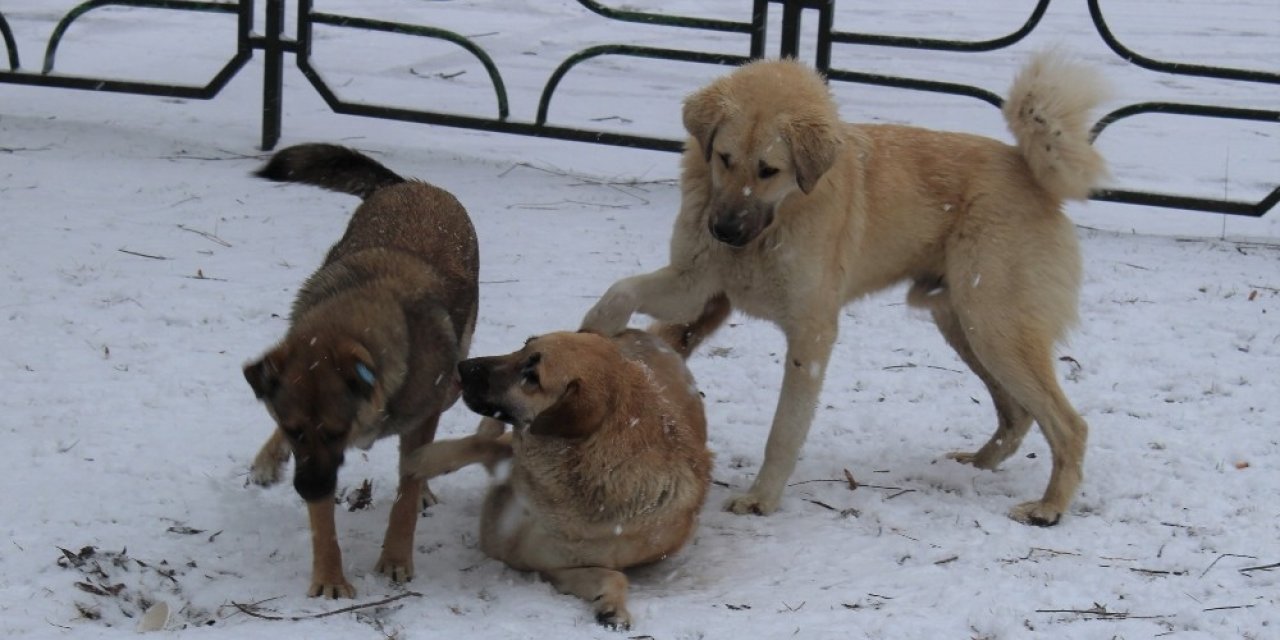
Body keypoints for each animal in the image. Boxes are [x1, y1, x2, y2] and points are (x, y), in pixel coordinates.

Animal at [241, 144, 478, 593]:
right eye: (294, 431)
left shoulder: (418, 416)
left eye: (336, 432)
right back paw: (266, 461)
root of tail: (407, 184)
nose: (308, 489)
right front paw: (330, 578)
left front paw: (396, 558)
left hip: (454, 377)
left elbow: (405, 495)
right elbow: (324, 526)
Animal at [409, 296, 732, 627]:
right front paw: (423, 460)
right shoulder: (514, 460)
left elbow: (615, 577)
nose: (462, 367)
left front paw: (614, 608)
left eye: (532, 377)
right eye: (524, 345)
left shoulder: (556, 569)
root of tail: (662, 345)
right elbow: (479, 446)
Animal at [583, 52, 1111, 524]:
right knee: (1018, 413)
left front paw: (762, 499)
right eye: (724, 158)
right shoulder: (694, 288)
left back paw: (1048, 508)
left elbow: (785, 429)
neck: (776, 223)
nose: (725, 231)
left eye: (768, 170)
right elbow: (619, 291)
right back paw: (977, 466)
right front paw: (591, 334)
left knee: (1070, 425)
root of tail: (1029, 169)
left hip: (994, 328)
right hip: (963, 325)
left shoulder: (811, 333)